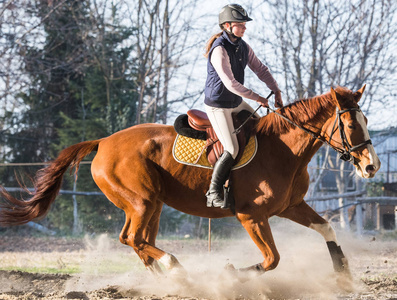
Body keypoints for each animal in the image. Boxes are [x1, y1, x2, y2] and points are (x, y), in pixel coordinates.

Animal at [0, 85, 378, 288]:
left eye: (365, 120)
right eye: (348, 124)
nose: (371, 166)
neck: (283, 150)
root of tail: (104, 141)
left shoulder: (290, 207)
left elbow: (327, 227)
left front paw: (342, 273)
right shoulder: (252, 217)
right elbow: (272, 259)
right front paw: (231, 275)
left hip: (151, 205)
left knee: (135, 240)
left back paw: (167, 278)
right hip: (141, 202)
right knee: (135, 239)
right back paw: (175, 268)